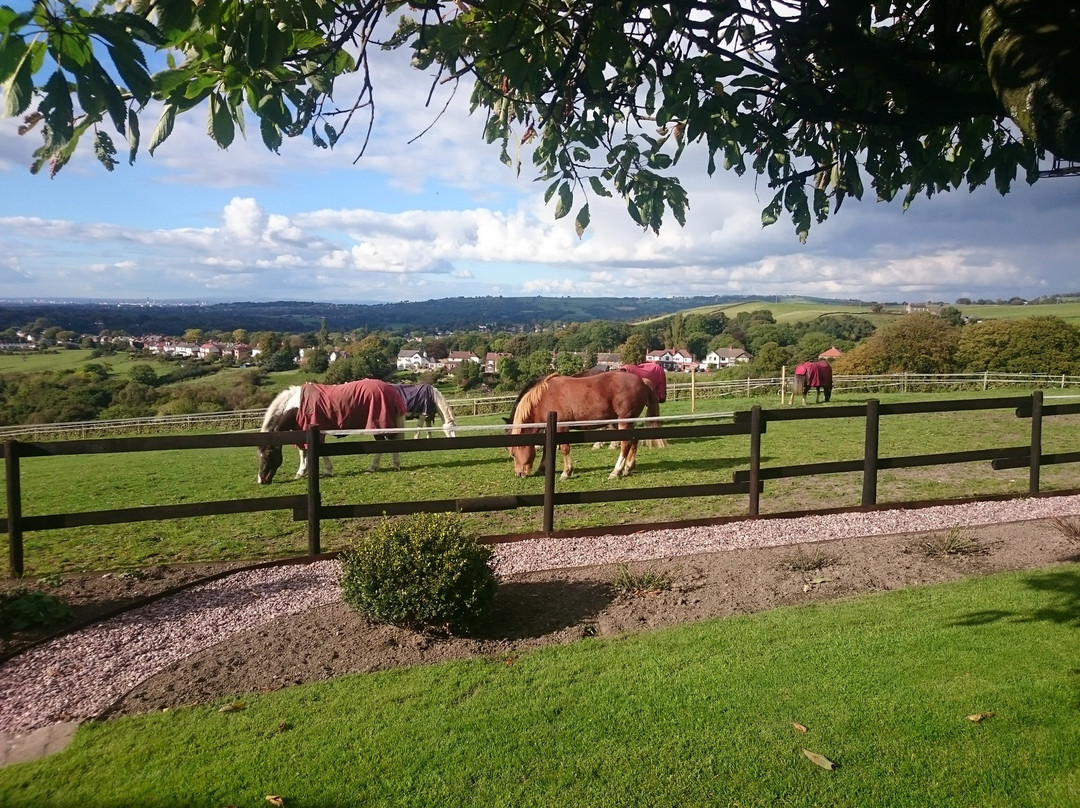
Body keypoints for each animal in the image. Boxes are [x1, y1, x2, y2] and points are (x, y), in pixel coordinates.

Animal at [254, 378, 406, 483]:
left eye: (268, 456)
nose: (261, 480)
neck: (296, 406)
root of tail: (390, 389)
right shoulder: (301, 432)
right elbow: (303, 452)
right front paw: (301, 472)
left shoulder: (317, 433)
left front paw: (328, 470)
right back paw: (395, 465)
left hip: (376, 425)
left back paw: (373, 467)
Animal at [507, 371, 665, 479]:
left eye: (513, 453)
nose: (519, 473)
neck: (543, 399)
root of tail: (642, 381)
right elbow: (548, 448)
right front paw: (542, 467)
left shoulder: (561, 427)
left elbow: (564, 449)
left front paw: (566, 472)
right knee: (633, 441)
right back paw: (628, 468)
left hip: (624, 421)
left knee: (625, 444)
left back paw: (616, 471)